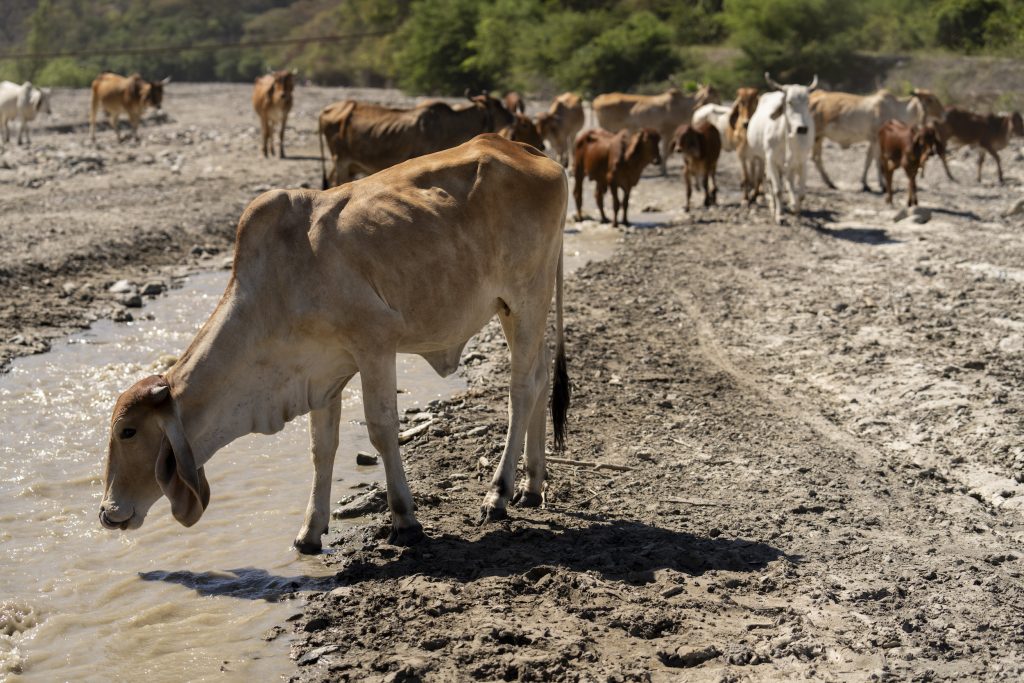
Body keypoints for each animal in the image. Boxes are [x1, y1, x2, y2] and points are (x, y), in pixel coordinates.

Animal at [745, 73, 815, 225]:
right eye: (789, 102)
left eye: (807, 102)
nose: (802, 128)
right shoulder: (771, 160)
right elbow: (777, 190)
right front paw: (780, 215)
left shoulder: (802, 161)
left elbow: (801, 193)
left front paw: (796, 209)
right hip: (762, 159)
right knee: (768, 180)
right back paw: (773, 206)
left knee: (789, 180)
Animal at [806, 87, 942, 192]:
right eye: (930, 99)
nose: (943, 113)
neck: (896, 110)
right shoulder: (877, 140)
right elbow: (878, 162)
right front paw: (883, 185)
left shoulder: (873, 141)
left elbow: (868, 160)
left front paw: (865, 184)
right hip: (814, 137)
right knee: (813, 158)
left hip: (819, 138)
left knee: (815, 158)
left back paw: (829, 182)